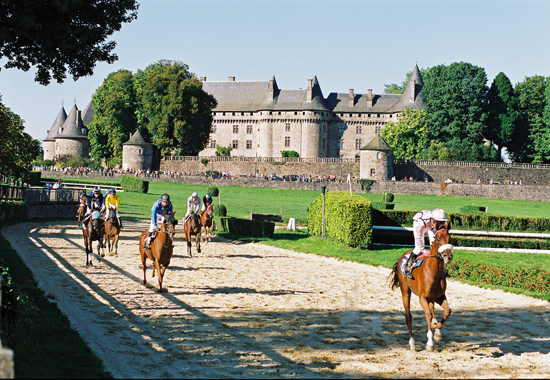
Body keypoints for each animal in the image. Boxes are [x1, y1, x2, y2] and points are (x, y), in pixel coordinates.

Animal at [386, 224, 454, 352]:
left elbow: (447, 311)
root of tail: (402, 257)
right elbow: (427, 315)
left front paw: (436, 328)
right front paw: (430, 343)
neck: (434, 271)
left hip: (431, 299)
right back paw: (412, 344)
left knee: (432, 310)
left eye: (450, 238)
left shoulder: (439, 296)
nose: (448, 256)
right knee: (409, 317)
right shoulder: (422, 297)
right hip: (405, 291)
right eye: (438, 239)